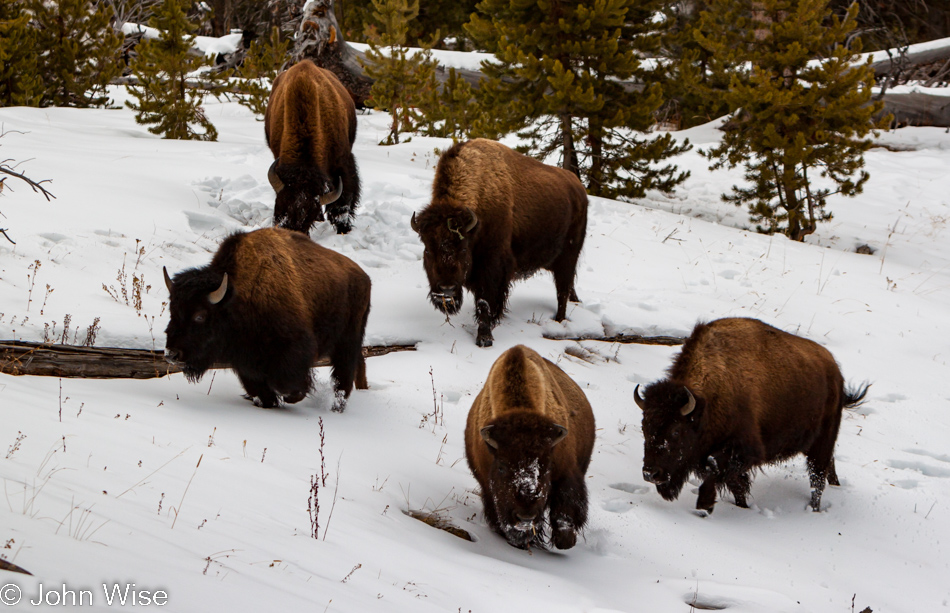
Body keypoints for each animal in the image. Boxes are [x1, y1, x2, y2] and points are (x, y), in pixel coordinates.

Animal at [164, 226, 372, 412]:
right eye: (172, 310)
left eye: (200, 315)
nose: (171, 354)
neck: (239, 295)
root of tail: (364, 277)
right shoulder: (244, 360)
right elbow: (258, 388)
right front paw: (263, 401)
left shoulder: (293, 348)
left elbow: (286, 383)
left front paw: (292, 396)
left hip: (347, 341)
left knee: (343, 375)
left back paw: (337, 407)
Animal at [264, 59, 360, 233]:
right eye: (279, 206)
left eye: (309, 215)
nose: (289, 230)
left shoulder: (343, 162)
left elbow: (343, 201)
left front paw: (343, 228)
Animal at [410, 140, 588, 350]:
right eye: (428, 250)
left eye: (463, 249)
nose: (446, 289)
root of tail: (579, 189)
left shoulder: (492, 268)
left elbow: (485, 302)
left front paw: (484, 339)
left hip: (568, 257)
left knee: (562, 290)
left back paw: (558, 320)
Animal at [466, 344, 596, 548]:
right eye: (502, 467)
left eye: (546, 465)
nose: (525, 517)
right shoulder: (488, 486)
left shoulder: (566, 471)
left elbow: (566, 508)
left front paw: (564, 538)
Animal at [632, 318, 872, 512]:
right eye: (644, 427)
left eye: (675, 431)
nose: (650, 474)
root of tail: (835, 372)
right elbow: (735, 485)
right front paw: (740, 506)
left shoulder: (744, 450)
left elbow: (717, 472)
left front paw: (704, 506)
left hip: (822, 442)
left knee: (817, 478)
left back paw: (813, 509)